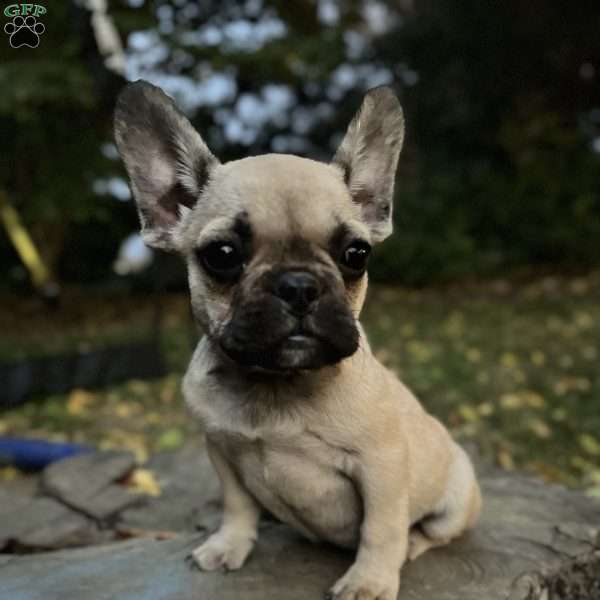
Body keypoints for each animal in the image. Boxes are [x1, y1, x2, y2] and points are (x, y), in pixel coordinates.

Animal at [113, 81, 482, 600]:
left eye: (357, 254)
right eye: (222, 254)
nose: (299, 285)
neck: (277, 383)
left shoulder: (383, 468)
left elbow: (381, 527)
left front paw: (369, 580)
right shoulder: (222, 452)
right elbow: (237, 505)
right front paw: (229, 545)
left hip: (457, 490)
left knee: (432, 532)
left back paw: (411, 546)